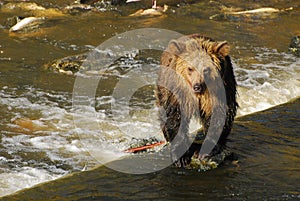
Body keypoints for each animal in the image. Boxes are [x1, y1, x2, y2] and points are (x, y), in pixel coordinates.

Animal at [156, 33, 238, 167]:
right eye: (190, 68)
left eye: (206, 69)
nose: (197, 86)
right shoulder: (178, 93)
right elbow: (175, 117)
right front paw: (181, 157)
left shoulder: (220, 91)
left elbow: (220, 115)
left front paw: (206, 150)